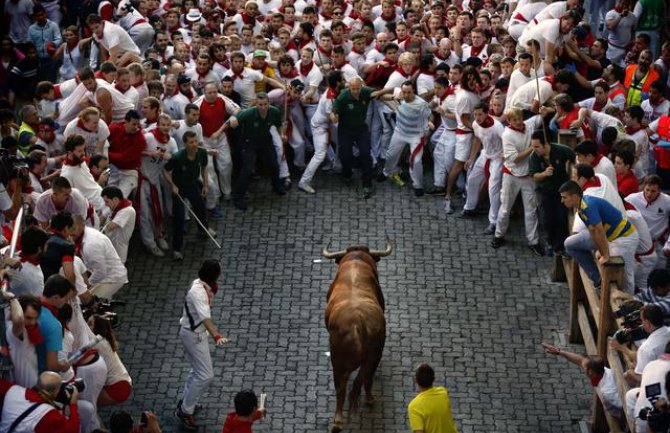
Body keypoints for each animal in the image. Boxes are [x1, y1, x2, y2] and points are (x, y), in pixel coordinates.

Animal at [322, 238, 394, 430]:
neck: (356, 262)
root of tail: (359, 321)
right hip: (374, 354)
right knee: (366, 377)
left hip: (338, 359)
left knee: (342, 387)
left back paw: (339, 420)